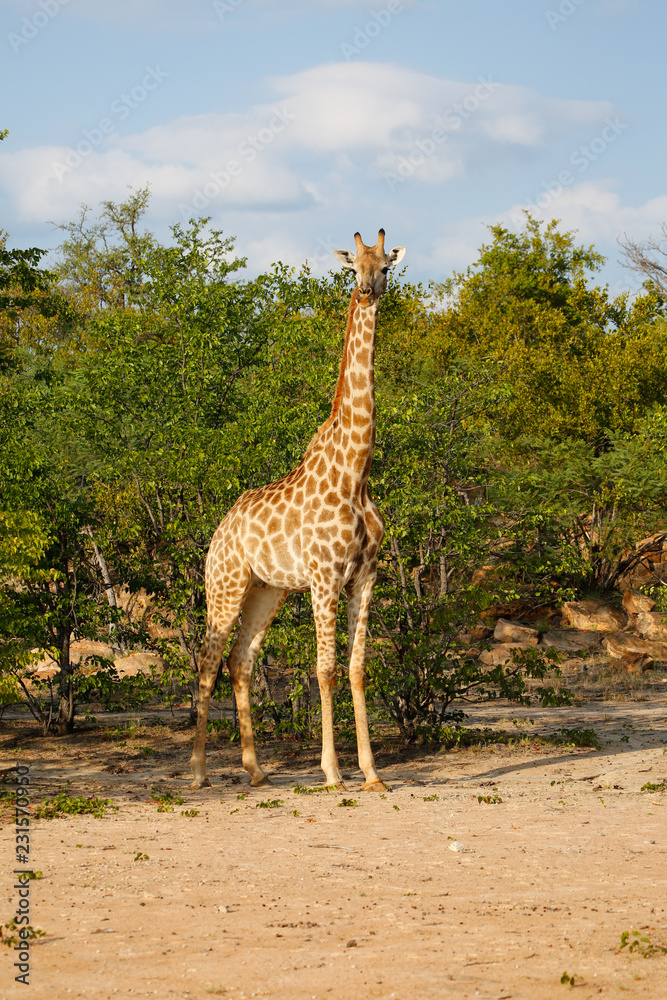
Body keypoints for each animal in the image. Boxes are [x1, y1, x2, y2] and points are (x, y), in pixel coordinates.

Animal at [190, 229, 406, 792]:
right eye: (354, 267)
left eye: (386, 268)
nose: (369, 292)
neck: (356, 472)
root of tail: (219, 532)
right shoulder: (325, 577)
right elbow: (324, 669)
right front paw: (332, 772)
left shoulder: (364, 576)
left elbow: (356, 669)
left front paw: (372, 773)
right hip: (225, 585)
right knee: (208, 659)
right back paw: (197, 772)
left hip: (267, 590)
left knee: (241, 660)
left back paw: (255, 769)